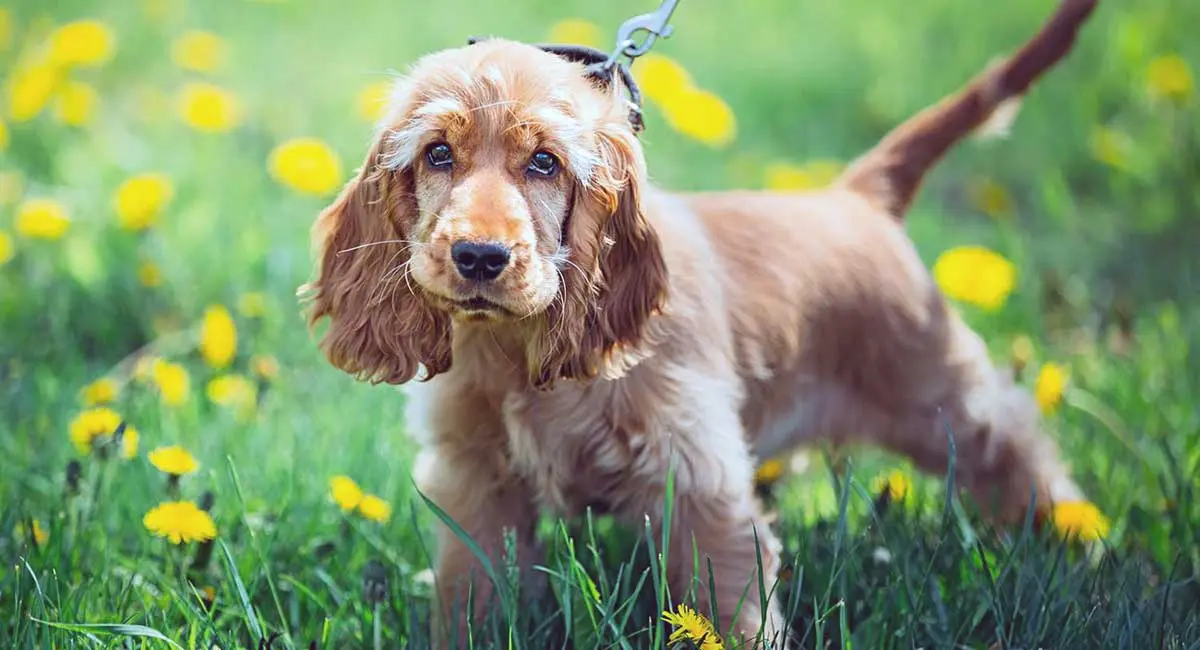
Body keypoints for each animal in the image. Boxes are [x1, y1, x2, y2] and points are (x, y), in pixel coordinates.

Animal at [300, 0, 1099, 647]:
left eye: (545, 163)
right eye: (438, 153)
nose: (478, 257)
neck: (517, 349)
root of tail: (855, 198)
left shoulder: (698, 477)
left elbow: (730, 606)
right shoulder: (475, 478)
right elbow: (475, 593)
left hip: (934, 395)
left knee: (1013, 440)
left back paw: (1074, 536)